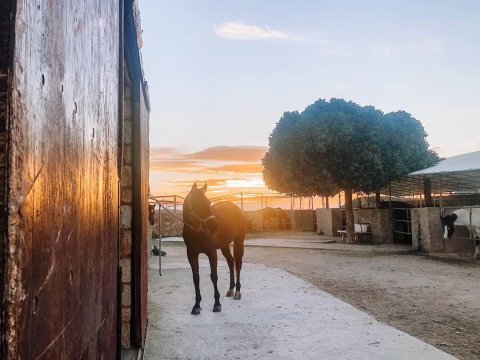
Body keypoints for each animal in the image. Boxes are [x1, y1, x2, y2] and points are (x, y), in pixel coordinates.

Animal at [182, 183, 246, 316]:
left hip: (239, 243)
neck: (197, 232)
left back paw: (237, 291)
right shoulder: (191, 254)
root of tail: (238, 209)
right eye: (197, 204)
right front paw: (197, 305)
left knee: (238, 264)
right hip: (224, 245)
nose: (214, 225)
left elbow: (214, 276)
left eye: (208, 202)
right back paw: (231, 289)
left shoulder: (212, 253)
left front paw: (217, 304)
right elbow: (196, 278)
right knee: (230, 261)